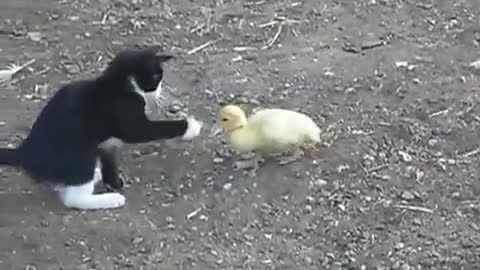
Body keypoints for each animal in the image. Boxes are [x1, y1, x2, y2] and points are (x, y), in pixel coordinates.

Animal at [0, 47, 203, 210]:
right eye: (157, 78)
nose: (160, 91)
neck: (117, 85)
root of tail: (24, 151)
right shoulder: (130, 120)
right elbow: (154, 129)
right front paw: (191, 127)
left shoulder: (106, 142)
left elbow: (109, 159)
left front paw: (113, 181)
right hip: (81, 154)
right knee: (73, 199)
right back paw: (110, 200)